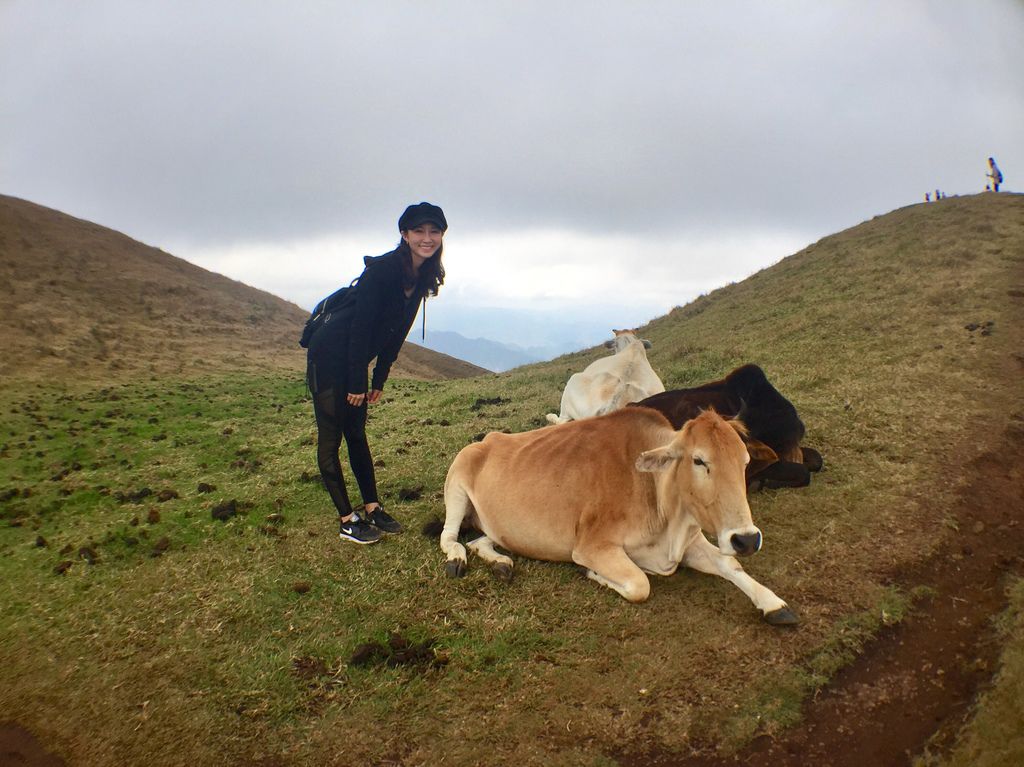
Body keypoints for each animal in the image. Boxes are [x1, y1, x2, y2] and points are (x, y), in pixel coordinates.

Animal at [442, 407, 798, 622]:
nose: (746, 539)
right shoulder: (591, 546)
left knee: (480, 540)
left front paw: (772, 602)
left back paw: (501, 563)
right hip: (457, 485)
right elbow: (640, 584)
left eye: (745, 461)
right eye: (699, 460)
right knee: (450, 538)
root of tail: (488, 439)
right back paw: (457, 559)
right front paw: (593, 574)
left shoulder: (691, 542)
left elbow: (730, 564)